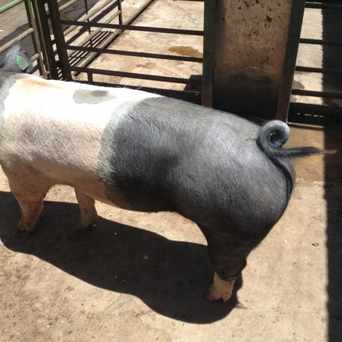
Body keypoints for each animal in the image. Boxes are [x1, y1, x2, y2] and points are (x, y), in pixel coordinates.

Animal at [0, 45, 320, 302]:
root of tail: (270, 149)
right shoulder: (79, 176)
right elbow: (84, 199)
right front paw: (85, 226)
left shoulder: (18, 167)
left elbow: (29, 202)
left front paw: (21, 230)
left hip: (234, 227)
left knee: (230, 267)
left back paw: (212, 297)